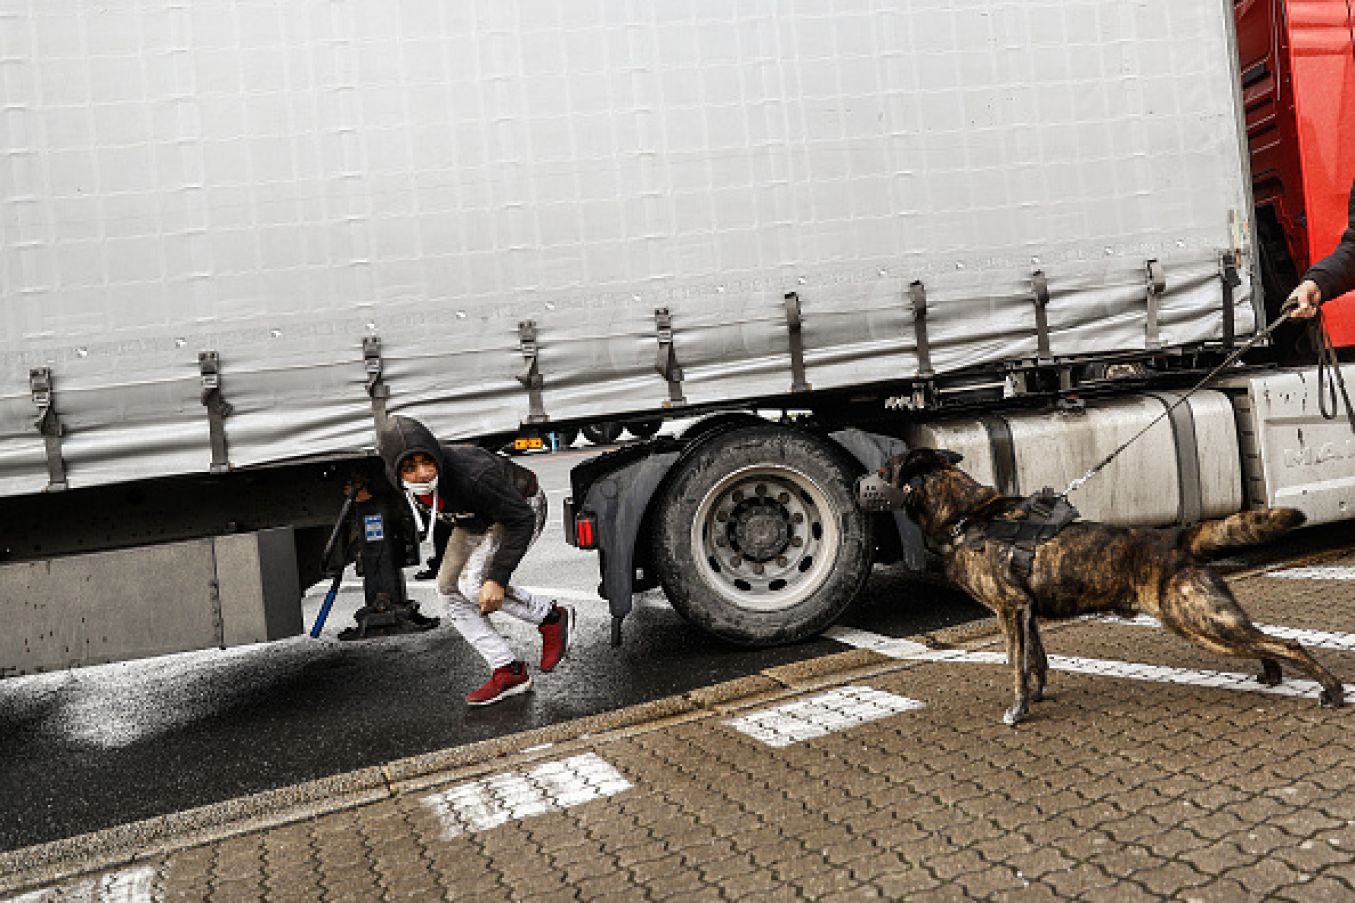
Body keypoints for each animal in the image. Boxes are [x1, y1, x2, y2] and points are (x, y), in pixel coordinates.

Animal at [878, 447, 1344, 721]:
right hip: (1207, 619)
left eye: (882, 469)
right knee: (1261, 641)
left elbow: (1016, 665)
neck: (969, 514)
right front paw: (1036, 697)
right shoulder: (1028, 612)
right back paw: (1272, 674)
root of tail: (1178, 538)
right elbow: (1037, 662)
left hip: (1196, 618)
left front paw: (1018, 709)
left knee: (1287, 643)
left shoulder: (1010, 610)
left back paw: (1334, 691)